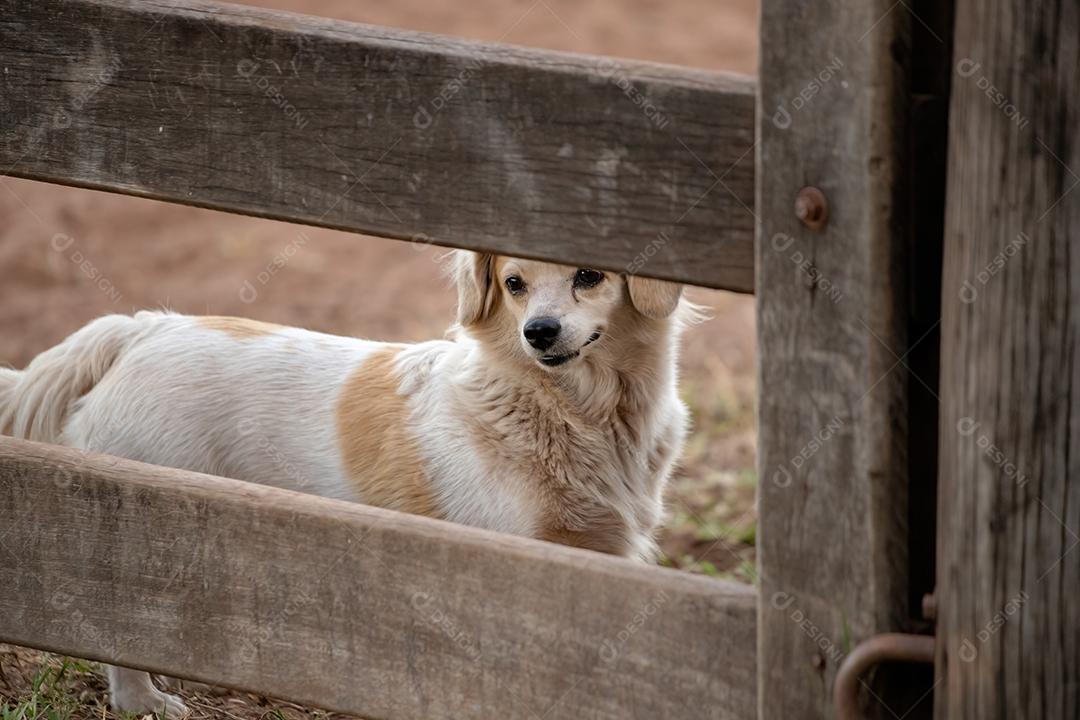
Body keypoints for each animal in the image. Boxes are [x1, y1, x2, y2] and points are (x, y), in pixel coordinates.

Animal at [0, 252, 695, 716]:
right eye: (513, 284)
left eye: (590, 276)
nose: (538, 332)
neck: (573, 412)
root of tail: (142, 329)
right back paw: (142, 700)